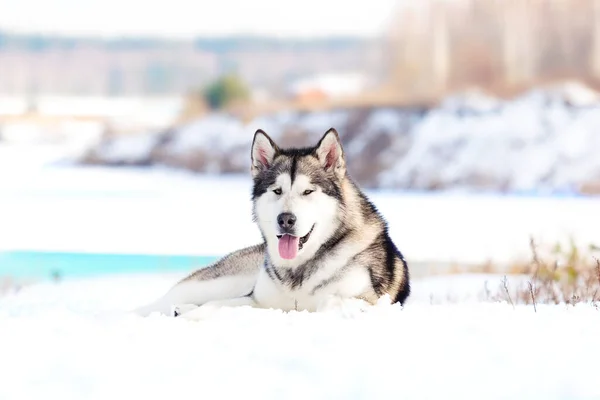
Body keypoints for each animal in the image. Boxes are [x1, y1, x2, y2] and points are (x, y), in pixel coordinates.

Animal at [135, 128, 408, 318]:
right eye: (277, 191)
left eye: (308, 192)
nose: (286, 219)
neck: (298, 270)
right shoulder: (255, 299)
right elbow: (215, 306)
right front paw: (192, 314)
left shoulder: (373, 302)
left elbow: (329, 300)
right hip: (217, 282)